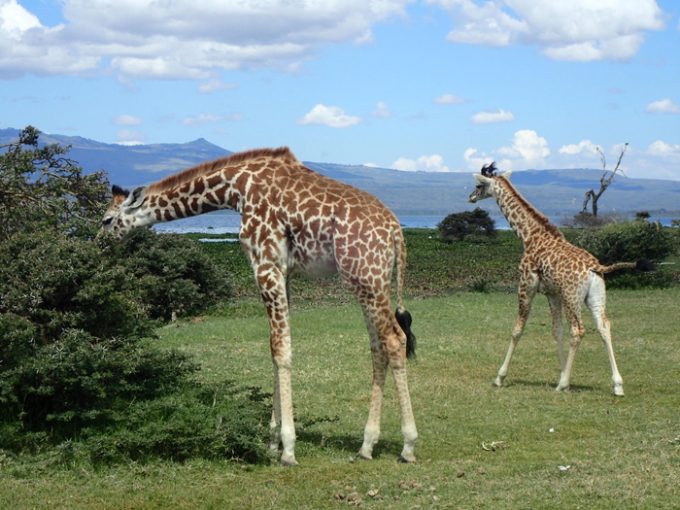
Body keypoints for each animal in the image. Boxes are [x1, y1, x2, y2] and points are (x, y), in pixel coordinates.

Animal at [99, 146, 420, 466]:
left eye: (106, 220)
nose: (98, 243)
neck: (235, 190)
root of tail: (396, 231)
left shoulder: (264, 266)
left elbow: (281, 348)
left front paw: (288, 448)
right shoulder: (283, 271)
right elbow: (275, 347)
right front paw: (272, 442)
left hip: (365, 277)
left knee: (394, 339)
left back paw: (408, 445)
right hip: (371, 282)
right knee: (377, 347)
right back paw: (366, 445)